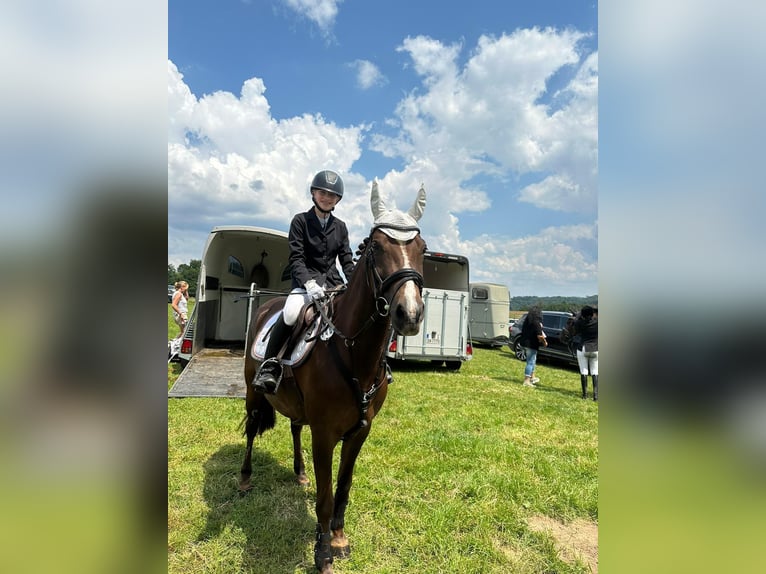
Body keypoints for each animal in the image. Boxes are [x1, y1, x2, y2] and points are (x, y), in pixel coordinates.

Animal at [240, 179, 428, 572]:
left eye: (422, 248)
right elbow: (325, 497)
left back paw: (299, 472)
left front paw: (339, 537)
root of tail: (268, 304)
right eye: (376, 247)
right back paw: (244, 480)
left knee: (295, 428)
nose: (410, 314)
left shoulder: (359, 431)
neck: (355, 354)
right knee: (250, 430)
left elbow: (343, 488)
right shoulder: (325, 433)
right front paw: (323, 552)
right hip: (253, 392)